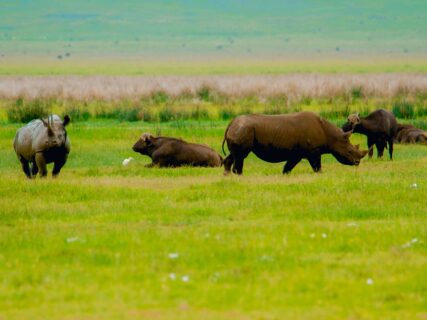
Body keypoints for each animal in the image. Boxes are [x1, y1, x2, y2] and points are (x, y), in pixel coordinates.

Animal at [222, 110, 370, 175]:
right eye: (350, 151)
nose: (357, 162)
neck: (333, 137)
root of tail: (231, 123)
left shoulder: (296, 153)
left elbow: (288, 166)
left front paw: (284, 175)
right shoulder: (313, 151)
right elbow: (317, 166)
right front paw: (321, 175)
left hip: (240, 129)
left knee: (233, 155)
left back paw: (228, 175)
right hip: (243, 129)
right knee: (241, 155)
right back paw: (239, 175)